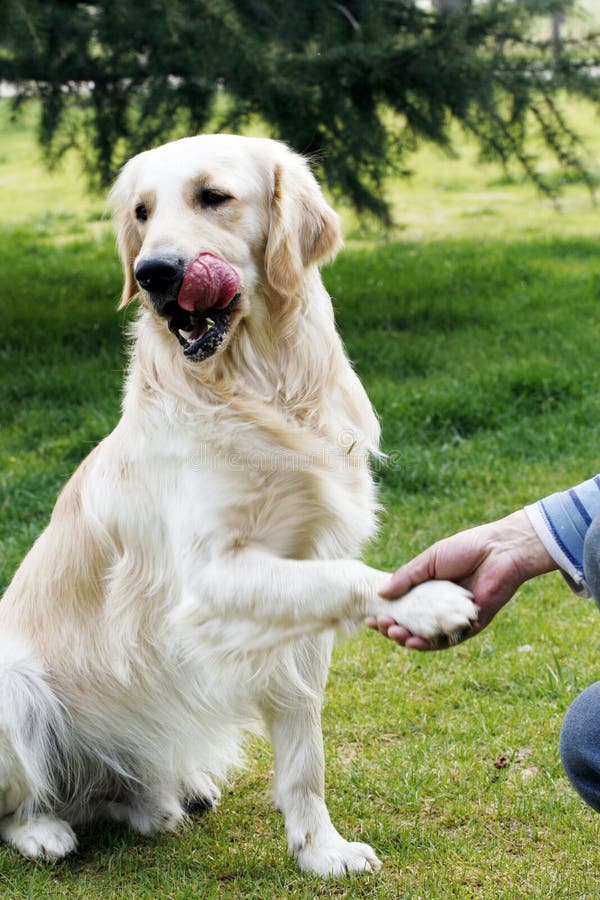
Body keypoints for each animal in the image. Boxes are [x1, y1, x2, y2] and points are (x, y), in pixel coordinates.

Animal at [0, 137, 478, 876]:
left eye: (212, 197)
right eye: (141, 212)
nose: (153, 273)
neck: (258, 385)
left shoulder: (297, 603)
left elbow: (305, 754)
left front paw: (320, 849)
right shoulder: (209, 581)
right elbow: (350, 578)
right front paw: (426, 601)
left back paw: (158, 805)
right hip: (14, 686)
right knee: (19, 804)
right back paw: (42, 832)